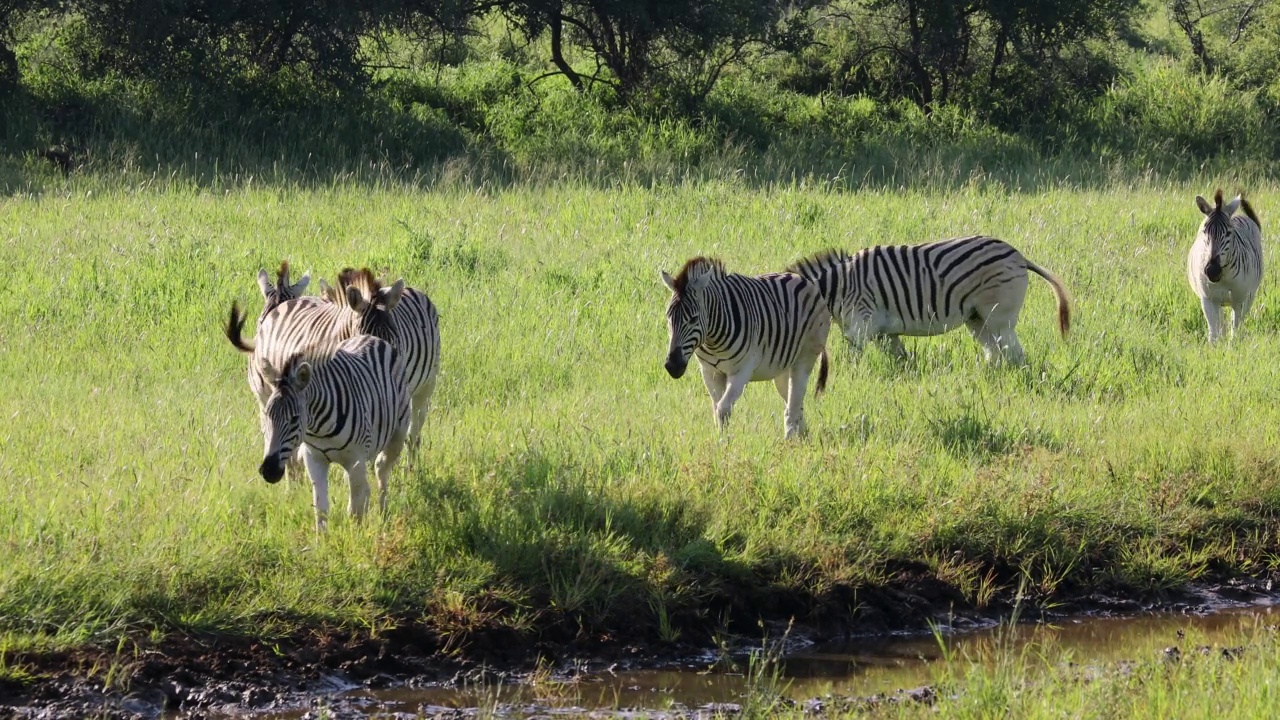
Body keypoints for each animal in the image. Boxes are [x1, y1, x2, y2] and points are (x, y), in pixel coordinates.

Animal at [227, 304, 409, 530]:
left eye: (295, 418)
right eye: (267, 415)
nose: (268, 471)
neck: (321, 429)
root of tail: (372, 338)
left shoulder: (356, 459)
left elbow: (355, 510)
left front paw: (356, 537)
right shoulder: (313, 458)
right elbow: (321, 509)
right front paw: (322, 538)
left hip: (398, 432)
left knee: (381, 471)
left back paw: (383, 515)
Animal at [660, 257, 829, 438]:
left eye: (693, 319)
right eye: (668, 317)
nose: (672, 366)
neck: (712, 340)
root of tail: (801, 279)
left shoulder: (742, 371)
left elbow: (722, 409)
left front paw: (723, 441)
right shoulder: (710, 372)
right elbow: (716, 408)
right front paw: (720, 438)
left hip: (805, 355)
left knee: (795, 398)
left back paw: (790, 439)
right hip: (783, 366)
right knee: (793, 400)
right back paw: (801, 436)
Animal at [783, 234, 1075, 361]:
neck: (838, 288)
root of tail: (1019, 256)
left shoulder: (861, 322)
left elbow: (855, 357)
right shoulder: (884, 331)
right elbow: (900, 360)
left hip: (998, 316)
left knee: (1014, 353)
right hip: (977, 319)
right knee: (995, 353)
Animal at [1187, 189, 1259, 343]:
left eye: (1229, 233)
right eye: (1204, 231)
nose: (1212, 271)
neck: (1224, 278)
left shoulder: (1239, 300)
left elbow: (1235, 329)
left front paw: (1233, 346)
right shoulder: (1207, 299)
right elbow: (1213, 334)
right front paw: (1215, 347)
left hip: (1250, 295)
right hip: (1217, 301)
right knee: (1220, 322)